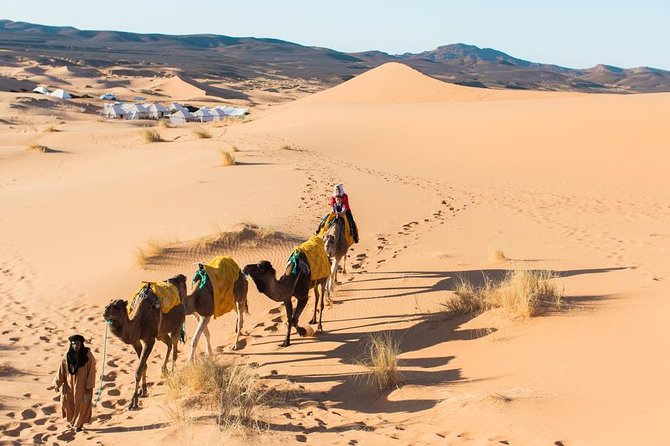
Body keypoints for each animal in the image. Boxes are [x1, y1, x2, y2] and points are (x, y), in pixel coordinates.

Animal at [102, 274, 186, 410]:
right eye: (107, 305)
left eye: (117, 307)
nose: (105, 312)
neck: (138, 322)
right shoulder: (136, 341)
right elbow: (144, 366)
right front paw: (143, 391)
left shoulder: (149, 340)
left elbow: (138, 370)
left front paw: (133, 402)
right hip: (161, 333)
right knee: (168, 344)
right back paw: (164, 370)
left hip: (178, 324)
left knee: (174, 347)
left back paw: (173, 373)